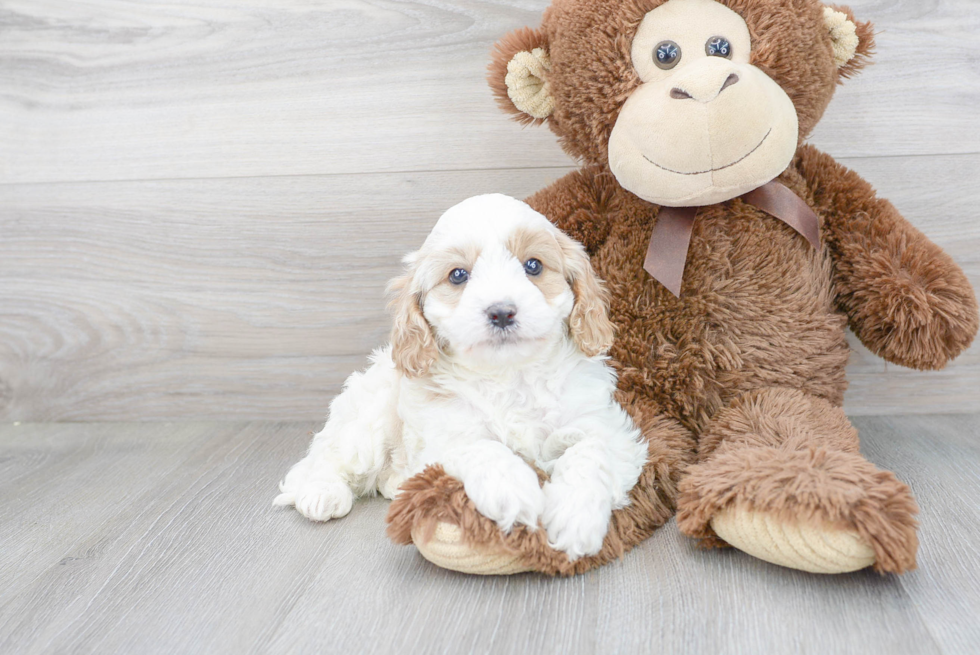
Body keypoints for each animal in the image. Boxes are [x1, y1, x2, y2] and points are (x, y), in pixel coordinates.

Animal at [272, 193, 648, 560]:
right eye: (457, 275)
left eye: (533, 266)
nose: (501, 312)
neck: (510, 373)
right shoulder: (444, 434)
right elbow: (482, 448)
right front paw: (514, 491)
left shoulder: (605, 426)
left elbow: (591, 451)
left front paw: (576, 515)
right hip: (367, 420)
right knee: (324, 460)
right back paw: (322, 494)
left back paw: (395, 483)